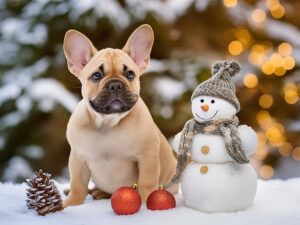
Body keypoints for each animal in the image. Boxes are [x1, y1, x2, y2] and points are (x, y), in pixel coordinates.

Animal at [62, 24, 177, 207]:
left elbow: (146, 181)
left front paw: (147, 201)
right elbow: (77, 185)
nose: (115, 84)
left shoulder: (148, 156)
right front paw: (71, 204)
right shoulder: (77, 159)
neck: (108, 122)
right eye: (96, 76)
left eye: (130, 74)